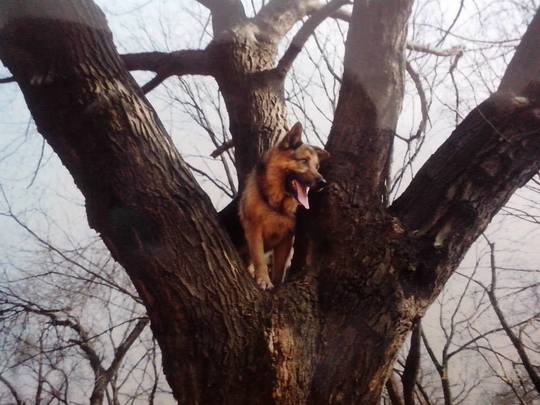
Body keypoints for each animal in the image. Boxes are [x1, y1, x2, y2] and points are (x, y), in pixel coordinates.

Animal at [239, 121, 330, 288]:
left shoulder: (286, 240)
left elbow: (280, 268)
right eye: (304, 161)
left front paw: (276, 285)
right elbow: (260, 259)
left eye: (317, 167)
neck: (276, 206)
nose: (323, 183)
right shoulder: (254, 231)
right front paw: (264, 280)